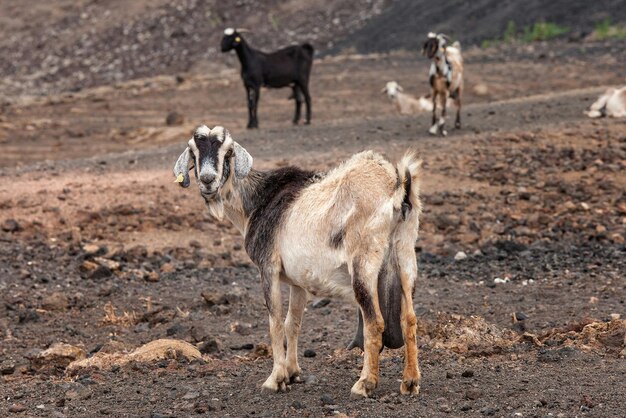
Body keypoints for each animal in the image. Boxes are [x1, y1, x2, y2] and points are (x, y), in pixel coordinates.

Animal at [173, 125, 422, 398]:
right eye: (194, 151)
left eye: (228, 152)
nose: (208, 180)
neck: (259, 200)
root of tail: (397, 189)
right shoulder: (297, 281)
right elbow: (293, 323)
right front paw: (292, 372)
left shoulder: (268, 268)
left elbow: (275, 323)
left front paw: (275, 379)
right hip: (405, 256)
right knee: (409, 318)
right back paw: (410, 382)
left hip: (364, 264)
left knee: (375, 322)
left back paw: (364, 383)